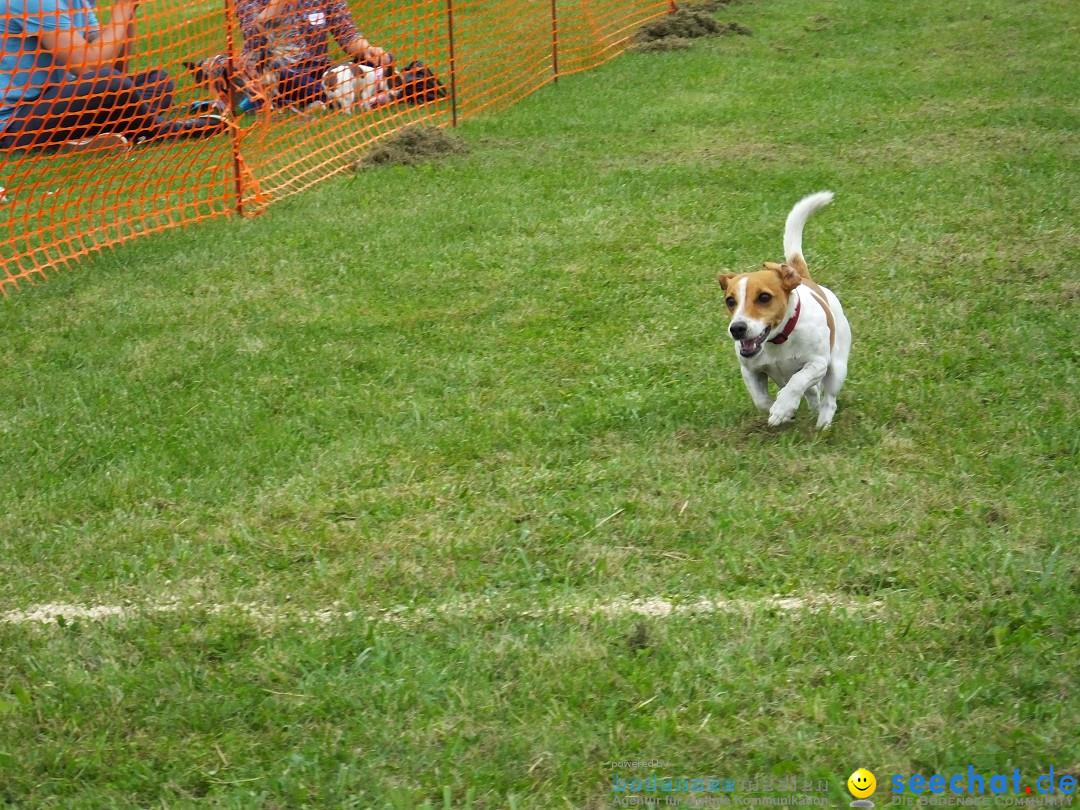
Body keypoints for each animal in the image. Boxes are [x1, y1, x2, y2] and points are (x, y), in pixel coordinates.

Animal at [717, 191, 851, 432]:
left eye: (764, 297)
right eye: (730, 301)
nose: (737, 328)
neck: (778, 341)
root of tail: (804, 277)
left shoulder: (818, 363)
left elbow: (797, 381)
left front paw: (782, 408)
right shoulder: (749, 369)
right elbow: (761, 400)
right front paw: (783, 411)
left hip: (837, 367)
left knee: (829, 398)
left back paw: (823, 423)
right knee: (812, 392)